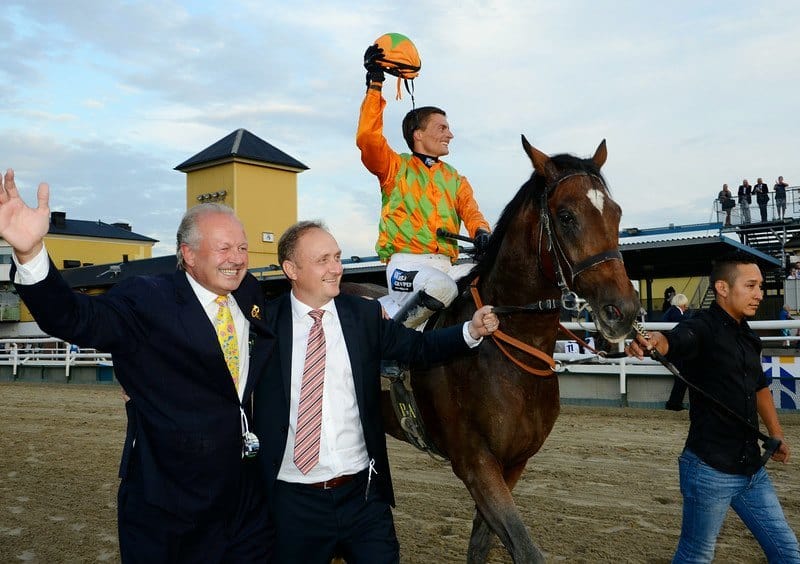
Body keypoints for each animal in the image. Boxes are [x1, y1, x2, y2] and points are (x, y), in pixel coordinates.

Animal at [384, 135, 640, 560]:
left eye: (616, 213)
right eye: (566, 216)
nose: (624, 310)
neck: (512, 350)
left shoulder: (514, 461)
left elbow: (482, 544)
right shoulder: (475, 462)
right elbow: (525, 549)